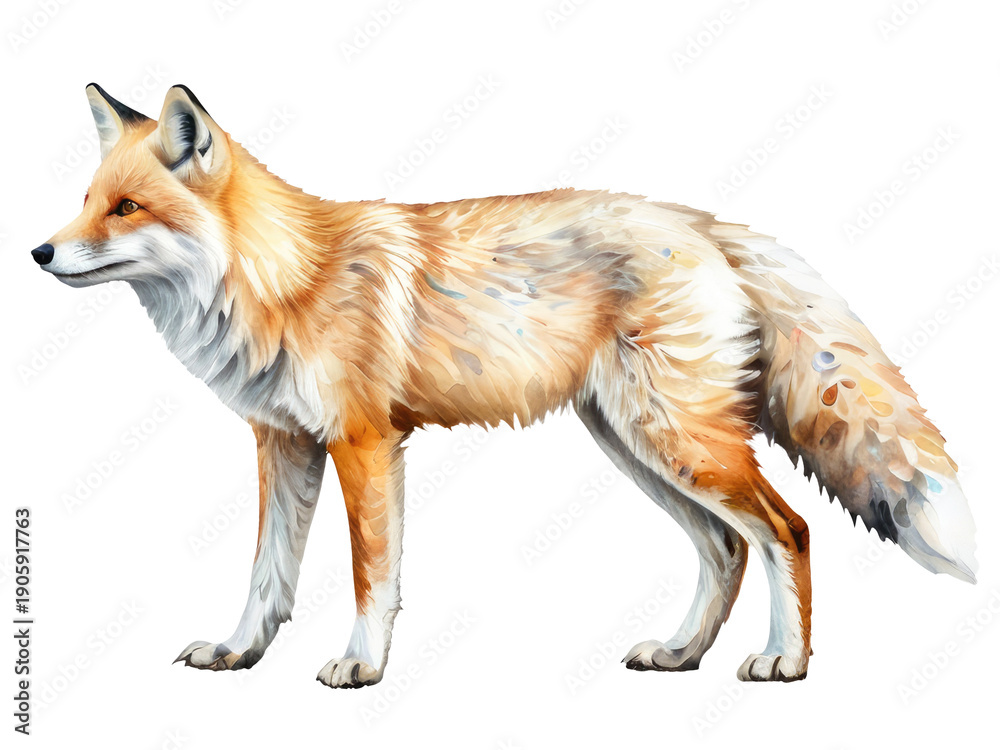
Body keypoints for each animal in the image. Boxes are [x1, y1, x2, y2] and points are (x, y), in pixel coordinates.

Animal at [31, 83, 977, 686]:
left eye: (125, 208)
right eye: (83, 200)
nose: (39, 252)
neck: (287, 281)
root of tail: (702, 222)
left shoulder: (364, 443)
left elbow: (371, 575)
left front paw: (362, 665)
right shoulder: (285, 443)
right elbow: (268, 578)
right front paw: (239, 655)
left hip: (676, 441)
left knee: (788, 530)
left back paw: (785, 661)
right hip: (634, 444)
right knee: (727, 548)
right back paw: (680, 656)